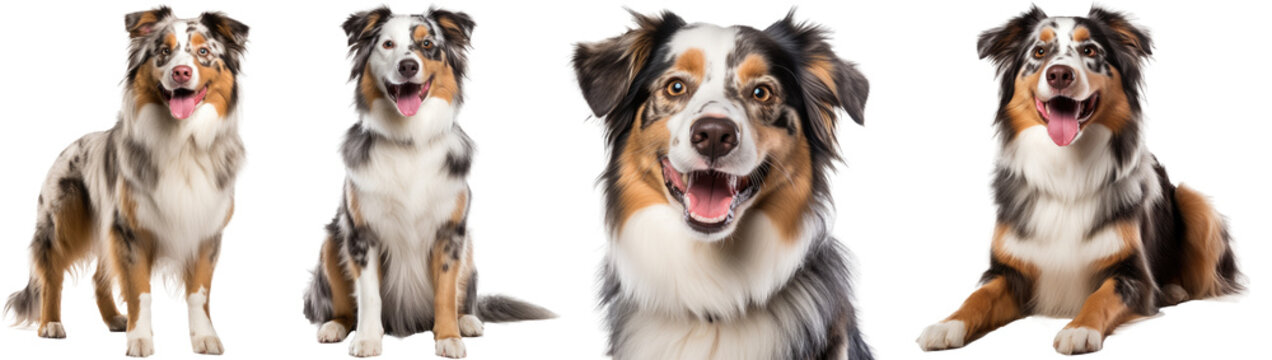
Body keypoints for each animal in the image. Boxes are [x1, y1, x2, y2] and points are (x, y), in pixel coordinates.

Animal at [3, 5, 249, 358]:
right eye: (164, 52)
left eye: (203, 52)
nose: (181, 73)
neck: (183, 142)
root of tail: (70, 146)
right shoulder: (129, 230)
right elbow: (139, 291)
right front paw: (140, 340)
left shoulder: (205, 231)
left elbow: (199, 293)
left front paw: (204, 337)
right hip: (62, 222)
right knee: (51, 272)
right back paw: (50, 324)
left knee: (98, 277)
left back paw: (114, 319)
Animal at [301, 7, 552, 358]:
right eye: (388, 44)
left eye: (428, 44)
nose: (408, 66)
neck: (409, 141)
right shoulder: (362, 235)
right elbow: (368, 295)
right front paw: (367, 339)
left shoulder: (450, 234)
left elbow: (445, 293)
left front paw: (448, 337)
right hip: (331, 242)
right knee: (342, 306)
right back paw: (334, 326)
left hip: (469, 250)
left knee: (464, 300)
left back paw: (467, 321)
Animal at [920, 7, 1236, 356]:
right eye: (1038, 52)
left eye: (1090, 51)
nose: (1060, 74)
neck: (1066, 168)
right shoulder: (1009, 271)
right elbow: (978, 297)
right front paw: (947, 324)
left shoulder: (1131, 273)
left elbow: (1101, 295)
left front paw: (1079, 329)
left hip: (1194, 202)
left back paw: (1173, 290)